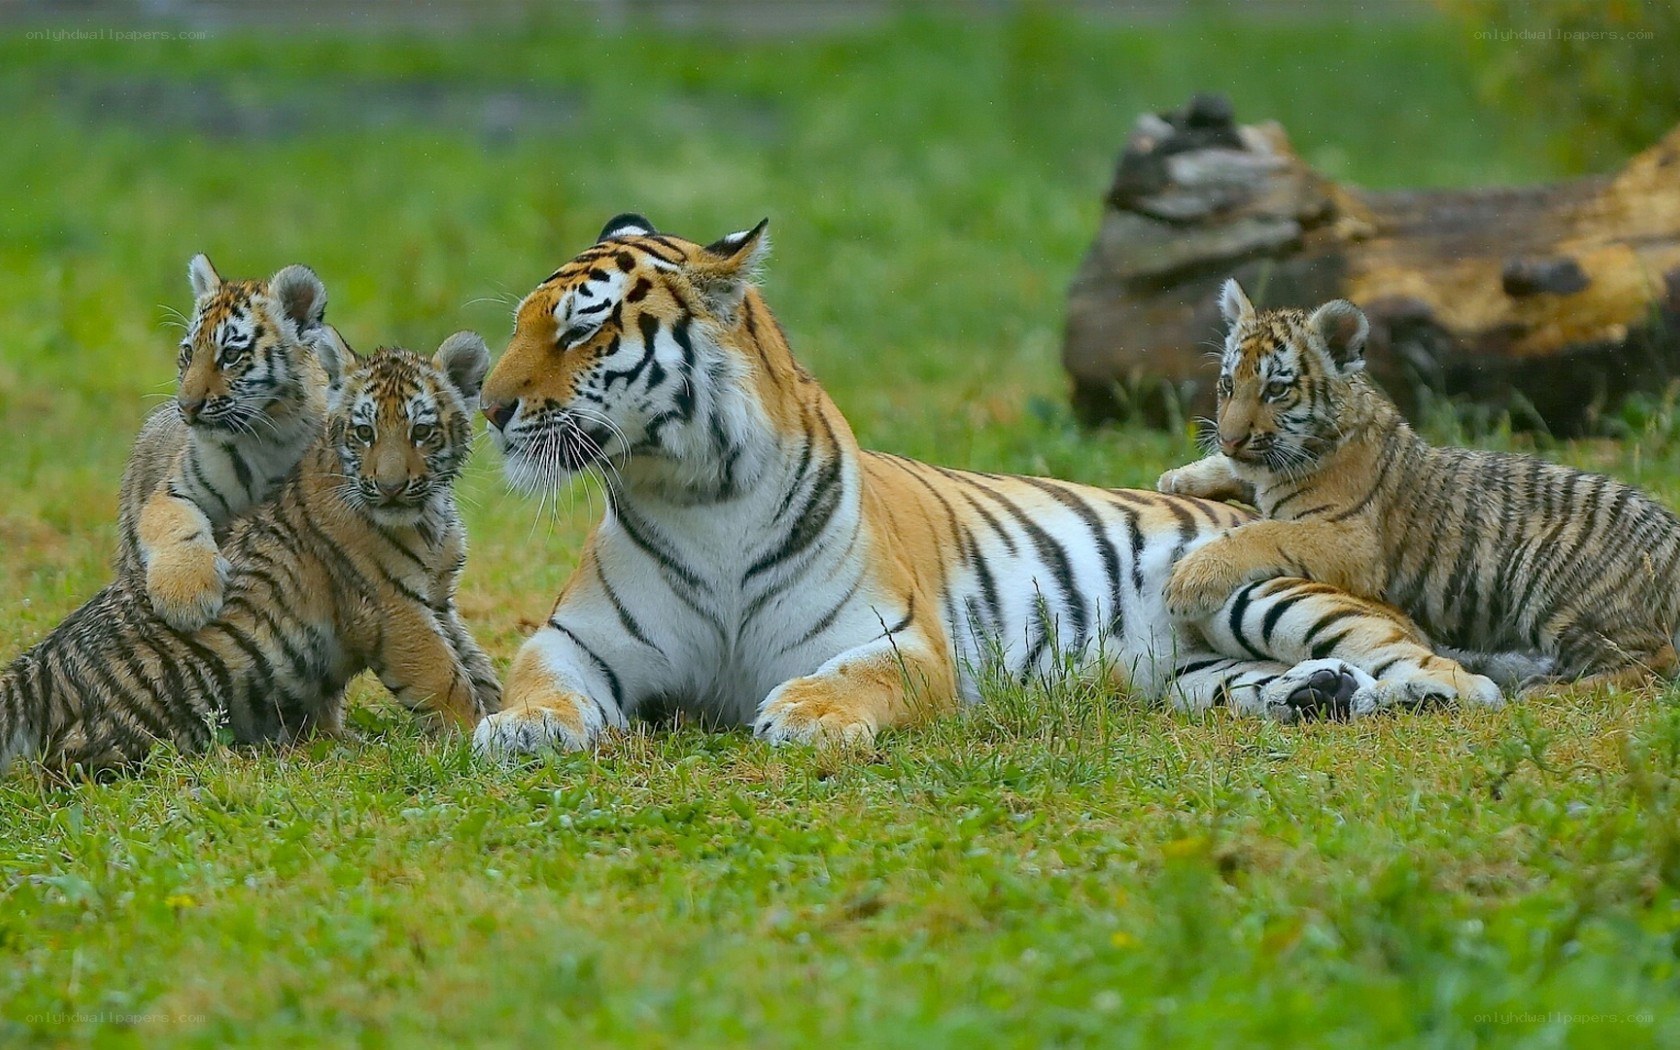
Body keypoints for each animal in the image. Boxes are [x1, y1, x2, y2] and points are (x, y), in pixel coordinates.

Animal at [0, 335, 500, 774]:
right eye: (364, 432)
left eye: (422, 432)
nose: (391, 487)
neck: (429, 515)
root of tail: (38, 667)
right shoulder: (394, 610)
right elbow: (447, 681)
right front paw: (477, 738)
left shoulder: (438, 600)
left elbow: (477, 666)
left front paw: (504, 714)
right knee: (70, 759)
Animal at [116, 254, 348, 633]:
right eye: (187, 353)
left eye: (230, 356)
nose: (186, 407)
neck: (265, 437)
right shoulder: (174, 490)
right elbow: (178, 526)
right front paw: (185, 597)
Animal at [468, 215, 1498, 757]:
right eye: (519, 324)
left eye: (581, 330)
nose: (487, 406)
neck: (699, 495)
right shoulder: (581, 639)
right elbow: (541, 680)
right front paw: (522, 729)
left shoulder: (900, 641)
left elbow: (852, 679)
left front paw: (805, 717)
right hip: (1196, 674)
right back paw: (1321, 693)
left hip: (1259, 590)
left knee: (1437, 662)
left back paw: (1429, 693)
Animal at [1158, 277, 1680, 696]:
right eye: (1228, 385)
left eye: (1276, 390)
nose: (1228, 438)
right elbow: (1243, 479)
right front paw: (1181, 476)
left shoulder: (1349, 542)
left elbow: (1263, 531)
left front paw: (1190, 580)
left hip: (1549, 580)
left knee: (1654, 659)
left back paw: (1547, 689)